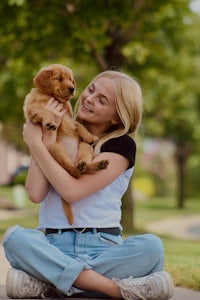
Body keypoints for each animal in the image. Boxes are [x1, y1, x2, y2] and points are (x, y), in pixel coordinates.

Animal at [24, 63, 108, 224]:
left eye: (71, 79)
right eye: (59, 78)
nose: (72, 88)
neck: (53, 97)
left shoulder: (71, 118)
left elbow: (79, 126)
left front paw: (90, 136)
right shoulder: (33, 108)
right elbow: (46, 112)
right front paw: (50, 122)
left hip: (84, 147)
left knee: (84, 167)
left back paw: (95, 164)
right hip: (54, 148)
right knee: (72, 172)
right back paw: (78, 168)